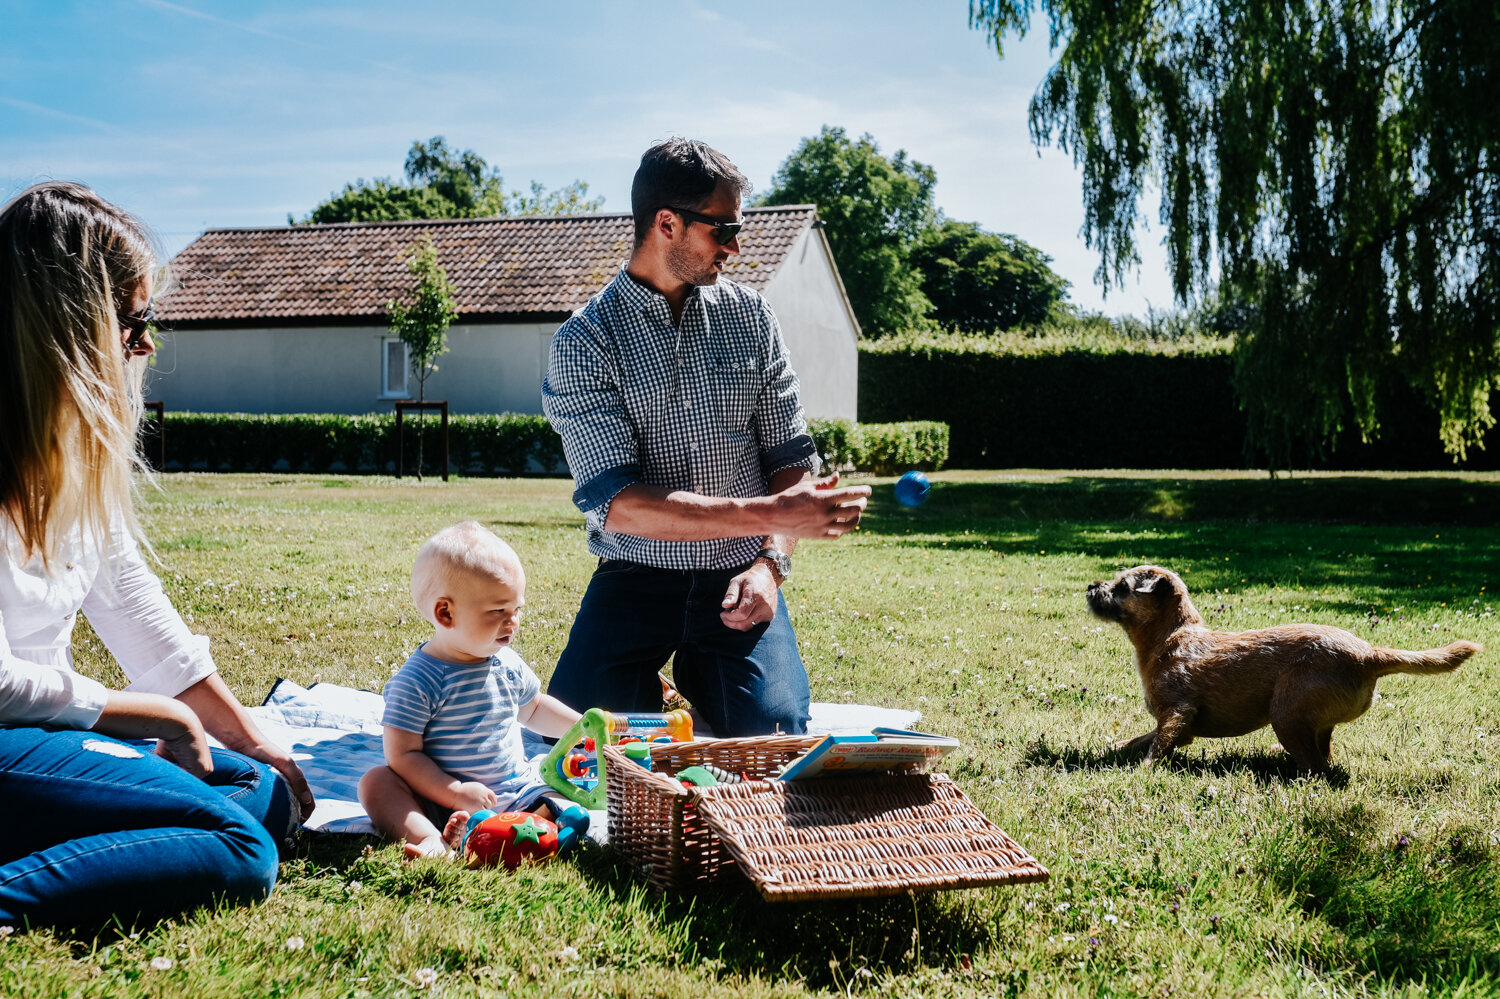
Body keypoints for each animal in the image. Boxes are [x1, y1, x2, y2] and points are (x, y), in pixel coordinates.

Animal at [1086, 561, 1482, 768]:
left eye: (1122, 587)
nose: (1091, 585)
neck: (1172, 637)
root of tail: (1368, 654)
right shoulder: (1180, 727)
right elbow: (1137, 740)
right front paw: (1114, 750)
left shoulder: (1178, 714)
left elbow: (1156, 746)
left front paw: (1142, 770)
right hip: (1306, 720)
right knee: (1324, 751)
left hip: (1285, 712)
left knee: (1319, 768)